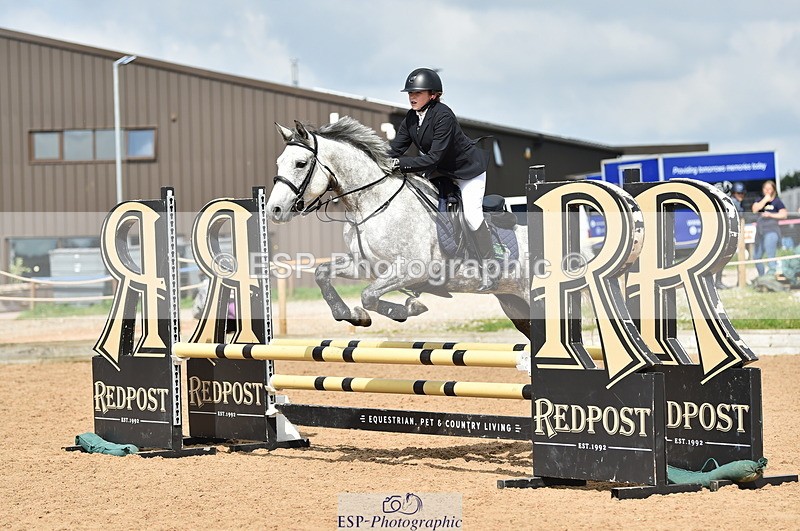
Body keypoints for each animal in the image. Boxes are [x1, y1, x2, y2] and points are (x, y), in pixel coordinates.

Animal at [267, 117, 531, 338]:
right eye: (278, 163)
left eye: (300, 163)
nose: (274, 210)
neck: (372, 203)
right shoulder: (367, 266)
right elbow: (322, 274)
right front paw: (350, 314)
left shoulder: (412, 269)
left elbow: (368, 295)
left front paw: (409, 308)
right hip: (515, 304)